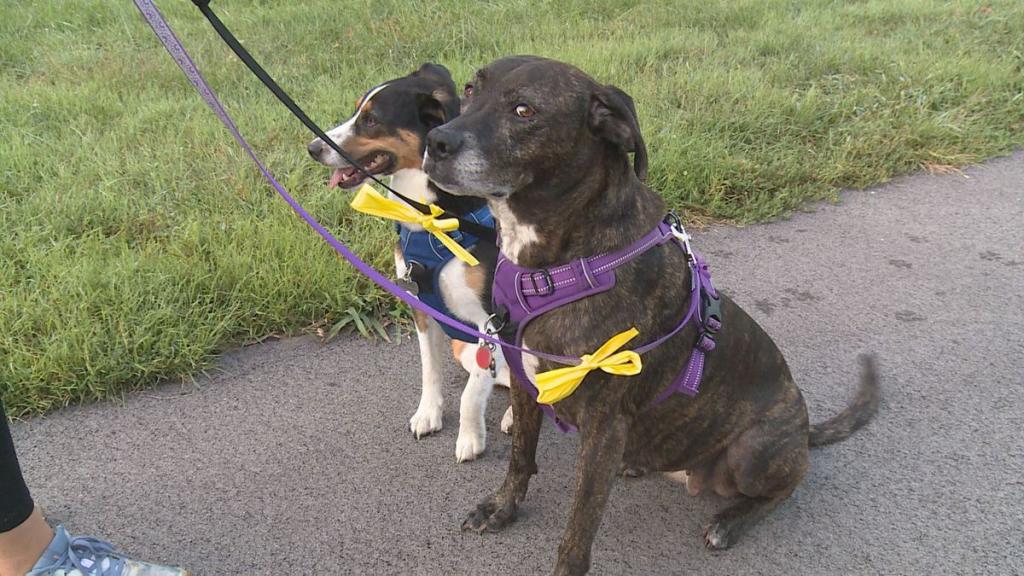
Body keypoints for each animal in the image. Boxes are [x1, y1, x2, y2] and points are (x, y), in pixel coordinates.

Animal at [419, 54, 876, 573]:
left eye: (524, 111)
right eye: (470, 89)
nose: (436, 142)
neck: (556, 265)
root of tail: (802, 429)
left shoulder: (603, 424)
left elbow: (580, 523)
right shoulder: (524, 380)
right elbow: (520, 457)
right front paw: (501, 508)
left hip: (753, 450)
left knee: (785, 487)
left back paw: (730, 521)